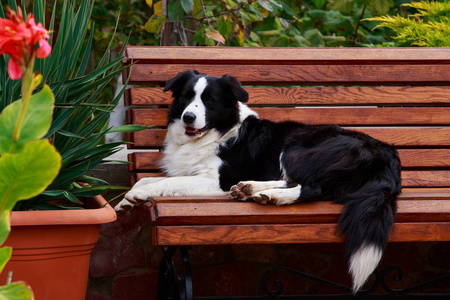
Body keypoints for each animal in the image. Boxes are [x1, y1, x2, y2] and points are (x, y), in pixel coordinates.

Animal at [115, 69, 400, 290]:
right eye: (186, 96)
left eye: (210, 100)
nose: (188, 117)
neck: (214, 134)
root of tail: (387, 153)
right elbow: (145, 180)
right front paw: (125, 202)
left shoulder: (216, 180)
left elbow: (164, 183)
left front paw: (138, 197)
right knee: (294, 181)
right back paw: (250, 189)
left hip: (298, 148)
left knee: (312, 188)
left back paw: (271, 195)